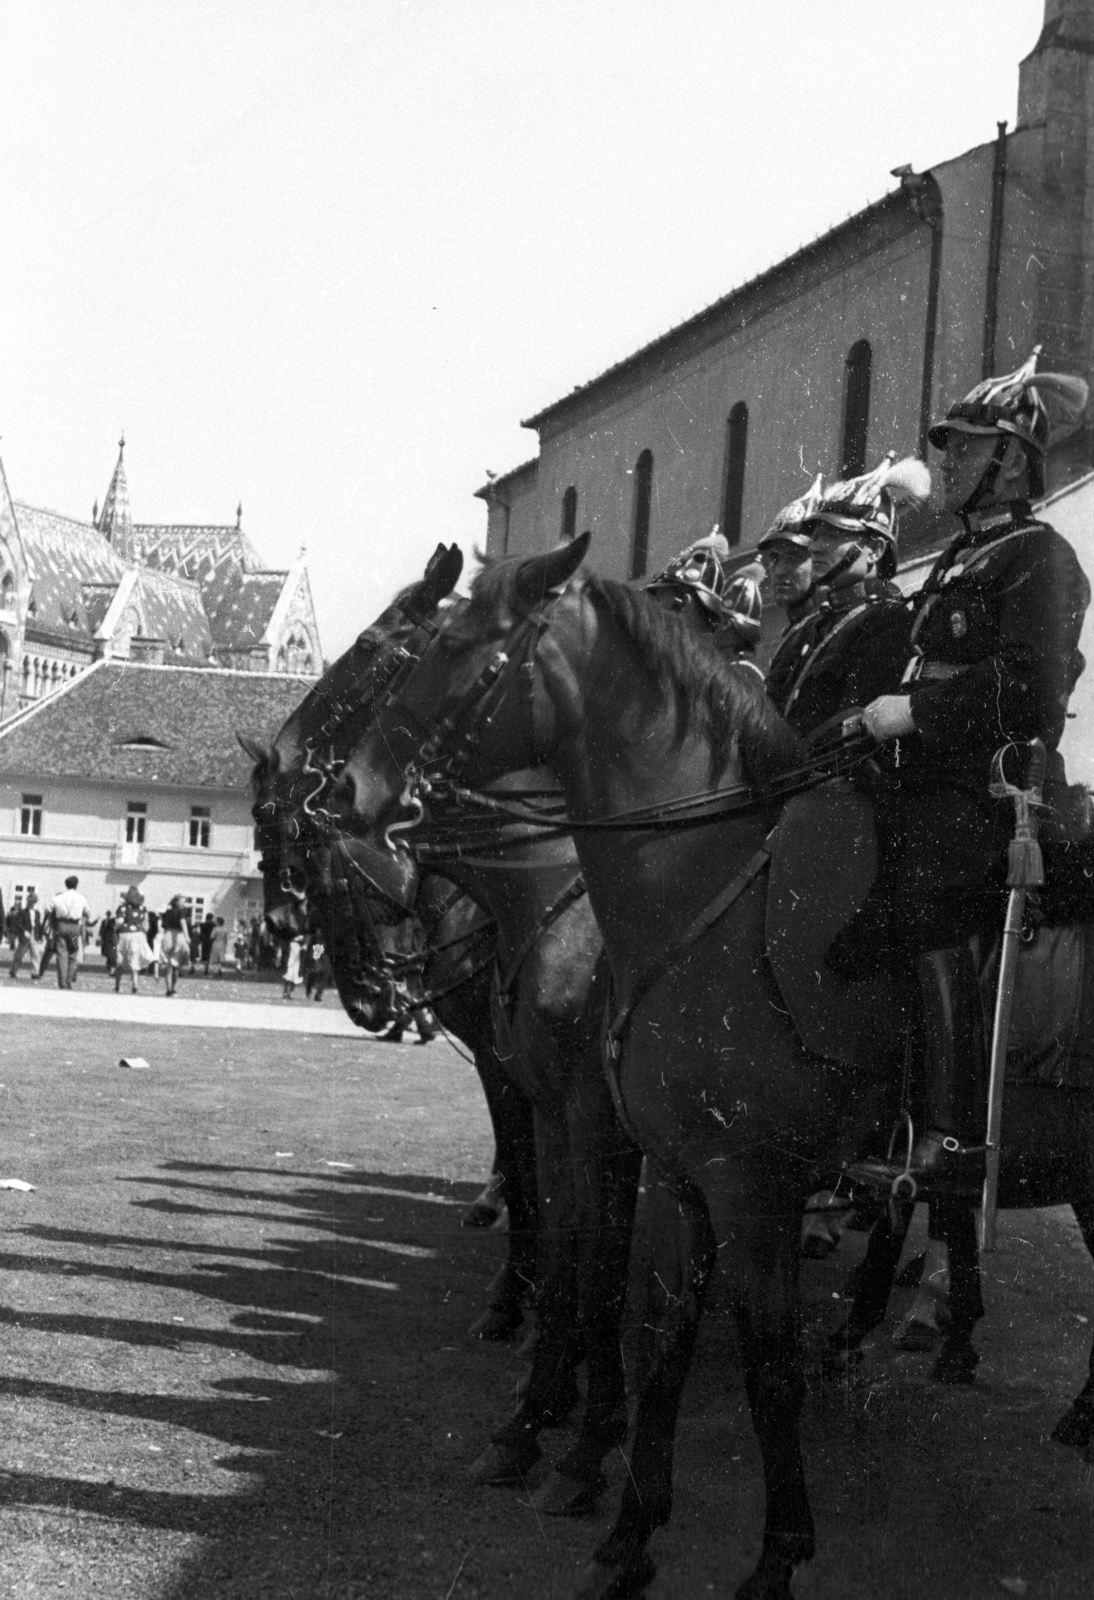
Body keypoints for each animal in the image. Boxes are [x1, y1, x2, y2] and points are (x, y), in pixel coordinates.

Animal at [331, 537, 1094, 1600]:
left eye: (439, 645)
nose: (344, 793)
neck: (692, 889)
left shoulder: (738, 1181)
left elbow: (749, 1353)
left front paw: (770, 1554)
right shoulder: (669, 1168)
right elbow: (652, 1325)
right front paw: (621, 1527)